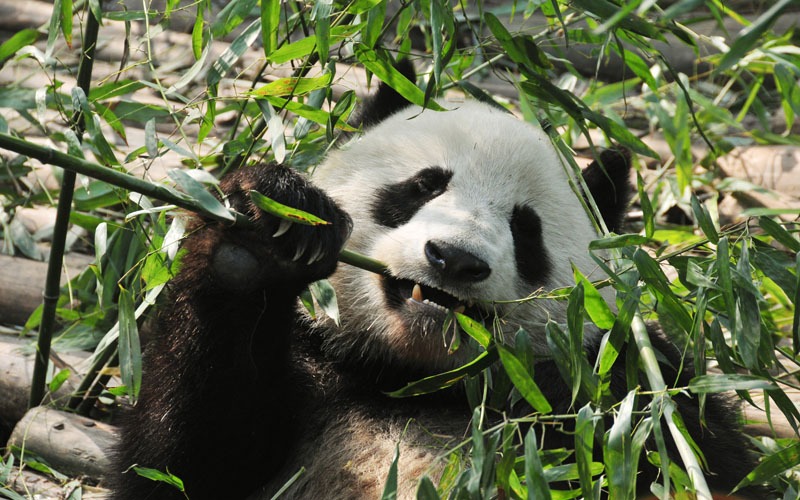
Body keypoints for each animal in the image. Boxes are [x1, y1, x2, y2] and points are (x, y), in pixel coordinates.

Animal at [108, 76, 764, 498]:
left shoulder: (623, 394)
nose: (454, 259)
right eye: (422, 186)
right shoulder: (307, 365)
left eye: (526, 230)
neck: (411, 379)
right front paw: (261, 236)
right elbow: (184, 463)